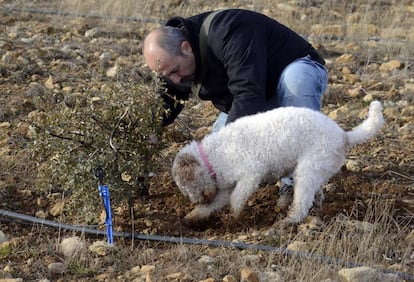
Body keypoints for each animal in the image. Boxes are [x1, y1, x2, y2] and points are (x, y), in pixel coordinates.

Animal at [171, 100, 384, 226]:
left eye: (186, 188)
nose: (194, 201)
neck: (212, 157)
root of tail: (343, 136)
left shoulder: (251, 175)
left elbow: (237, 198)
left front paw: (236, 217)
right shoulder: (225, 188)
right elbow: (215, 203)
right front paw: (194, 215)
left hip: (307, 169)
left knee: (302, 202)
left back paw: (288, 220)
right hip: (318, 169)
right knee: (316, 193)